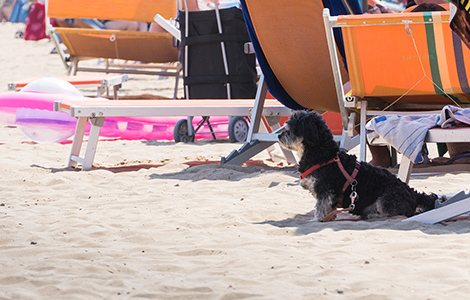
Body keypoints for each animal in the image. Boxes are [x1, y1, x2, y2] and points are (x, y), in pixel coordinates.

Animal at [280, 110, 436, 220]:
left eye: (290, 129)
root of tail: (413, 193)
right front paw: (330, 217)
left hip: (386, 200)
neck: (322, 154)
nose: (279, 136)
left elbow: (321, 207)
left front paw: (319, 219)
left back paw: (375, 215)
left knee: (395, 214)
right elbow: (329, 209)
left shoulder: (325, 190)